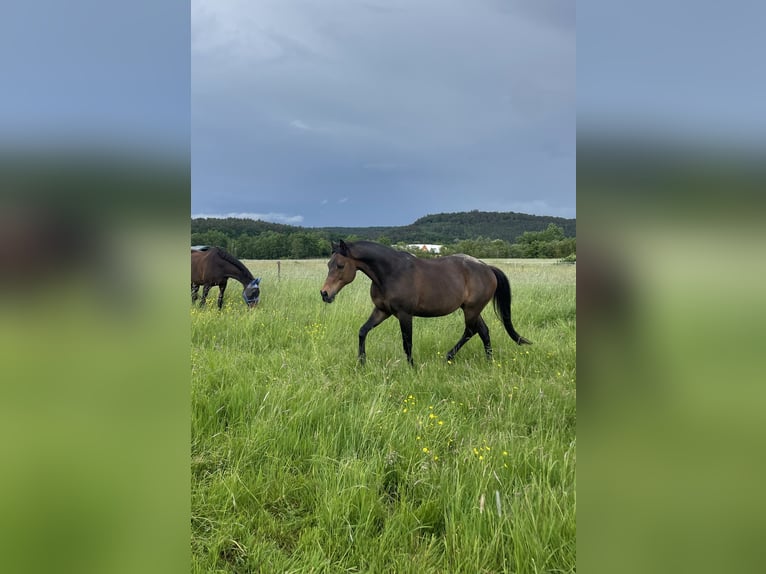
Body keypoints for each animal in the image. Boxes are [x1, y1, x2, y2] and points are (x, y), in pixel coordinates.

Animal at [320, 241, 532, 366]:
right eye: (328, 264)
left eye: (340, 265)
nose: (325, 293)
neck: (390, 273)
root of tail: (487, 268)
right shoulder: (381, 311)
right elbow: (363, 331)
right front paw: (362, 363)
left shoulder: (404, 314)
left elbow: (407, 342)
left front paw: (412, 367)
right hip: (471, 309)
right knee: (483, 331)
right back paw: (489, 361)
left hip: (472, 309)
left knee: (471, 331)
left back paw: (449, 356)